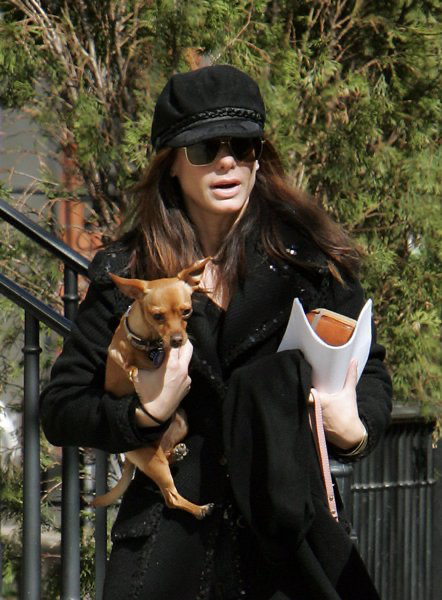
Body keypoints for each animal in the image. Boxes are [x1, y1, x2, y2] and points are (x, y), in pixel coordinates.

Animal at [92, 257, 214, 519]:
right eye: (157, 316)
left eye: (186, 311)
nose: (178, 340)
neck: (150, 340)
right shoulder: (121, 353)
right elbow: (127, 361)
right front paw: (134, 366)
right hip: (153, 461)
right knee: (171, 497)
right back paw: (199, 509)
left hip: (180, 422)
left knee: (166, 455)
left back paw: (176, 452)